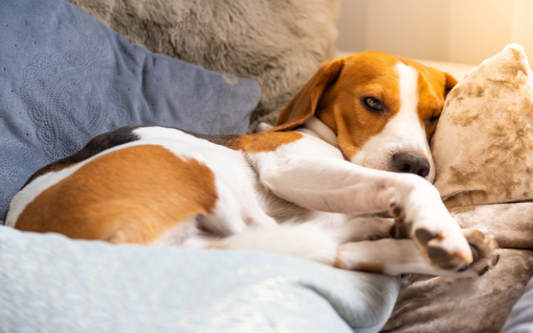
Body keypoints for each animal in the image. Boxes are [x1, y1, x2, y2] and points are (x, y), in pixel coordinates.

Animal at [6, 51, 496, 274]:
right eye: (372, 103)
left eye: (434, 116)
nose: (415, 162)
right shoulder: (287, 168)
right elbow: (418, 190)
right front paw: (434, 225)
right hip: (192, 160)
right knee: (282, 234)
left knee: (322, 247)